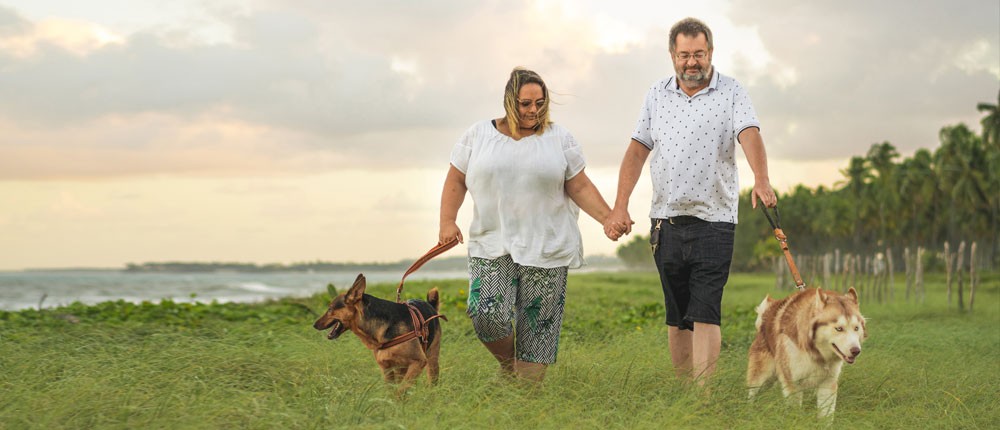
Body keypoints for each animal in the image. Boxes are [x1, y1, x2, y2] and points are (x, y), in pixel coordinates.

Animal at [312, 274, 446, 392]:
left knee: (432, 380)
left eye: (330, 309)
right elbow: (392, 391)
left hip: (432, 360)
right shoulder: (386, 368)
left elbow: (401, 390)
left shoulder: (419, 362)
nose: (314, 325)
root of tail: (430, 305)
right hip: (401, 368)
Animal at [752, 288, 868, 418]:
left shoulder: (828, 383)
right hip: (762, 378)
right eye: (839, 329)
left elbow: (826, 416)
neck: (816, 353)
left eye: (856, 328)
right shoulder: (793, 384)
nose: (856, 351)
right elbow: (794, 412)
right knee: (752, 394)